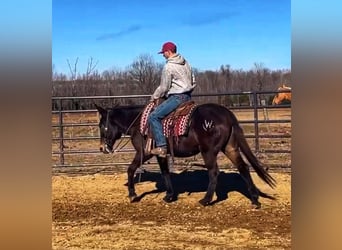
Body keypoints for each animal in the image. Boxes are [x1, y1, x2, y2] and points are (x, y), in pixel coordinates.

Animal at [95, 102, 276, 208]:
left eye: (101, 125)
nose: (102, 148)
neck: (139, 123)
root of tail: (227, 114)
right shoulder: (160, 154)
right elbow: (165, 173)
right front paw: (169, 196)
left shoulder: (144, 152)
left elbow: (131, 169)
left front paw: (132, 195)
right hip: (230, 147)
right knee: (243, 167)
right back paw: (254, 200)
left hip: (208, 151)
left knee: (214, 172)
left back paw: (206, 200)